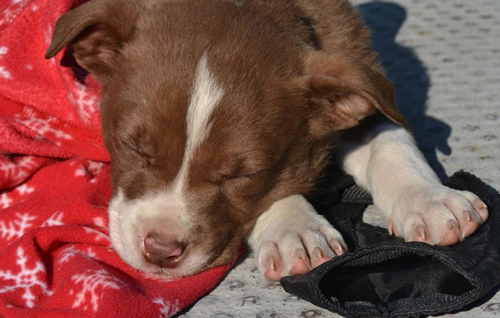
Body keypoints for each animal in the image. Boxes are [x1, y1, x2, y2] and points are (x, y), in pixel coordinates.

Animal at [46, 0, 488, 280]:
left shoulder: (358, 78)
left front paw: (430, 201)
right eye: (132, 146)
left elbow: (389, 138)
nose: (161, 250)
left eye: (243, 175)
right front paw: (296, 230)